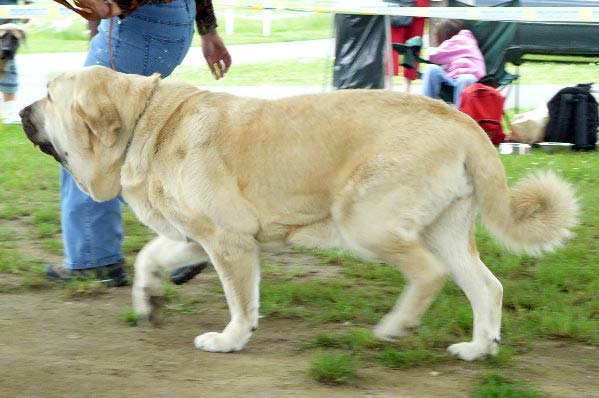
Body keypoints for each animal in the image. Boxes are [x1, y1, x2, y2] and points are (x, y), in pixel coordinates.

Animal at [21, 67, 580, 360]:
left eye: (49, 95)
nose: (23, 110)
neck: (145, 123)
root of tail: (462, 121)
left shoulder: (229, 243)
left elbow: (241, 303)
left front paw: (230, 340)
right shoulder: (193, 238)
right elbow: (147, 260)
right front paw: (149, 301)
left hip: (365, 222)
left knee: (429, 274)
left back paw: (394, 328)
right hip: (445, 230)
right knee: (486, 287)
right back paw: (478, 348)